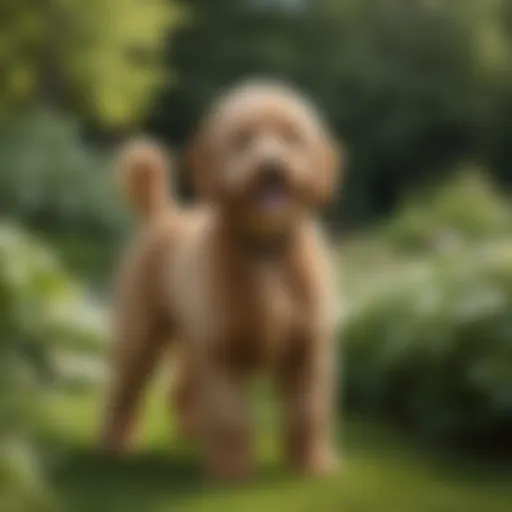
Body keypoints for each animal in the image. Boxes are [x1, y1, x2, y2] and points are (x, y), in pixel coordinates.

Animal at [101, 80, 342, 480]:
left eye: (291, 137)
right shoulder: (223, 352)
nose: (271, 167)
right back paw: (115, 444)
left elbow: (307, 412)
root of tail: (162, 214)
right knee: (125, 389)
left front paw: (312, 466)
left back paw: (194, 435)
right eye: (243, 139)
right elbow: (232, 418)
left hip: (191, 339)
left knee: (181, 391)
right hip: (143, 332)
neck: (264, 251)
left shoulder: (305, 352)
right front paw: (231, 474)